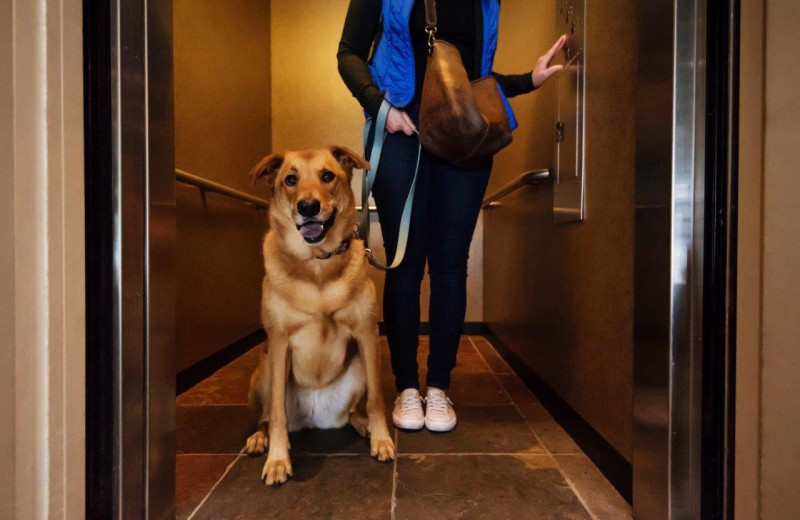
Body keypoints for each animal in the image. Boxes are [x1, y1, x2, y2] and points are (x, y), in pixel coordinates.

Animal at [244, 145, 394, 484]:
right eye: (290, 180)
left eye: (327, 176)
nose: (308, 206)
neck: (317, 263)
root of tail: (317, 420)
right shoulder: (279, 342)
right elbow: (278, 415)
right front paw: (278, 460)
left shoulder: (367, 335)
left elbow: (377, 399)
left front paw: (381, 438)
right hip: (264, 371)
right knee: (265, 416)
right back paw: (260, 439)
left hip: (360, 365)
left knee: (351, 413)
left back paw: (363, 424)